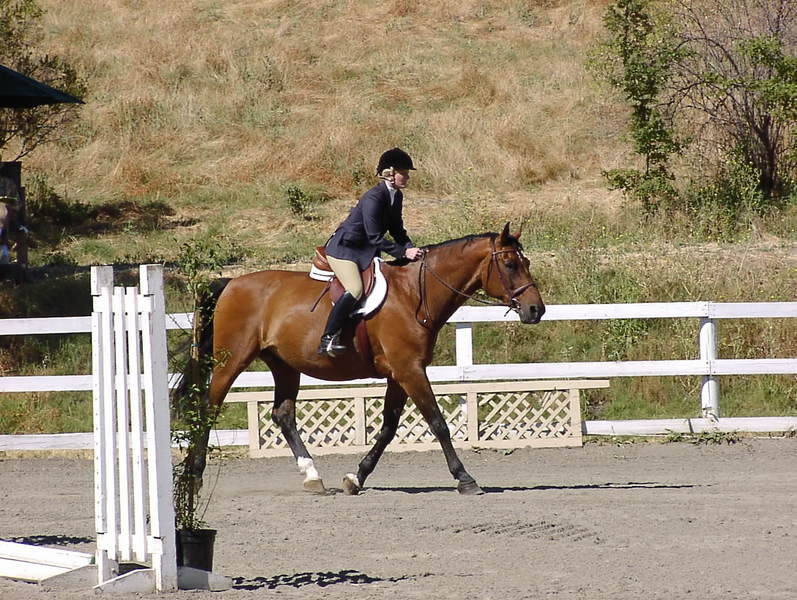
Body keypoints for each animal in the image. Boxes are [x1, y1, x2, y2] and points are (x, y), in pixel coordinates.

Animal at [183, 223, 545, 495]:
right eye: (511, 265)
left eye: (525, 263)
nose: (536, 310)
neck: (415, 293)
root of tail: (232, 282)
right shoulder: (410, 370)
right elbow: (437, 422)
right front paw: (465, 479)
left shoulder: (400, 372)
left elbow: (388, 428)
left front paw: (356, 478)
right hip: (232, 360)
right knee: (208, 408)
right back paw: (193, 477)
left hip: (283, 365)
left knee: (283, 414)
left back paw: (313, 476)